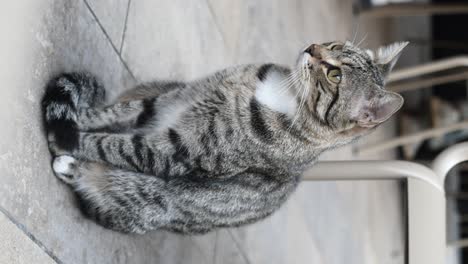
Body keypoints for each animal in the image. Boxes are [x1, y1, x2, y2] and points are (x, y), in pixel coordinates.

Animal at [42, 40, 408, 234]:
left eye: (333, 74)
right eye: (334, 45)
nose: (312, 48)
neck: (283, 93)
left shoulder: (173, 152)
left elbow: (114, 145)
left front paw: (68, 138)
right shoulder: (168, 101)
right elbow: (114, 115)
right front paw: (77, 118)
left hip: (148, 196)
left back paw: (72, 165)